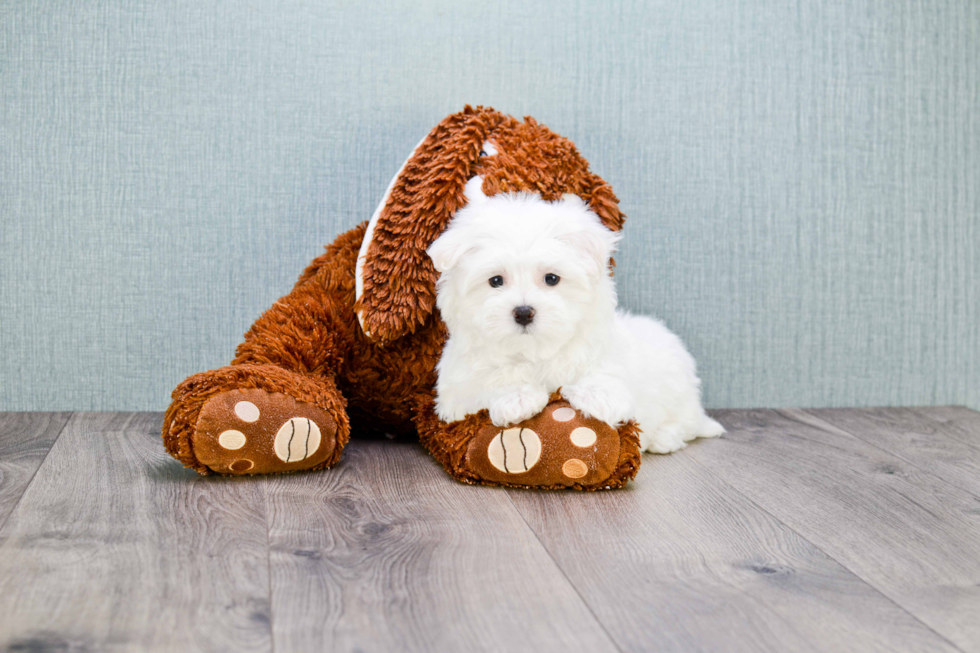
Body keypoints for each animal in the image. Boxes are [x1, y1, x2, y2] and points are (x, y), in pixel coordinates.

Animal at [424, 181, 724, 450]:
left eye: (552, 278)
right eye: (495, 281)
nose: (523, 312)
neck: (535, 351)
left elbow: (605, 375)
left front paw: (595, 395)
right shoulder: (455, 394)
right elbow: (489, 380)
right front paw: (516, 398)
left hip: (677, 384)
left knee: (685, 422)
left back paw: (665, 438)